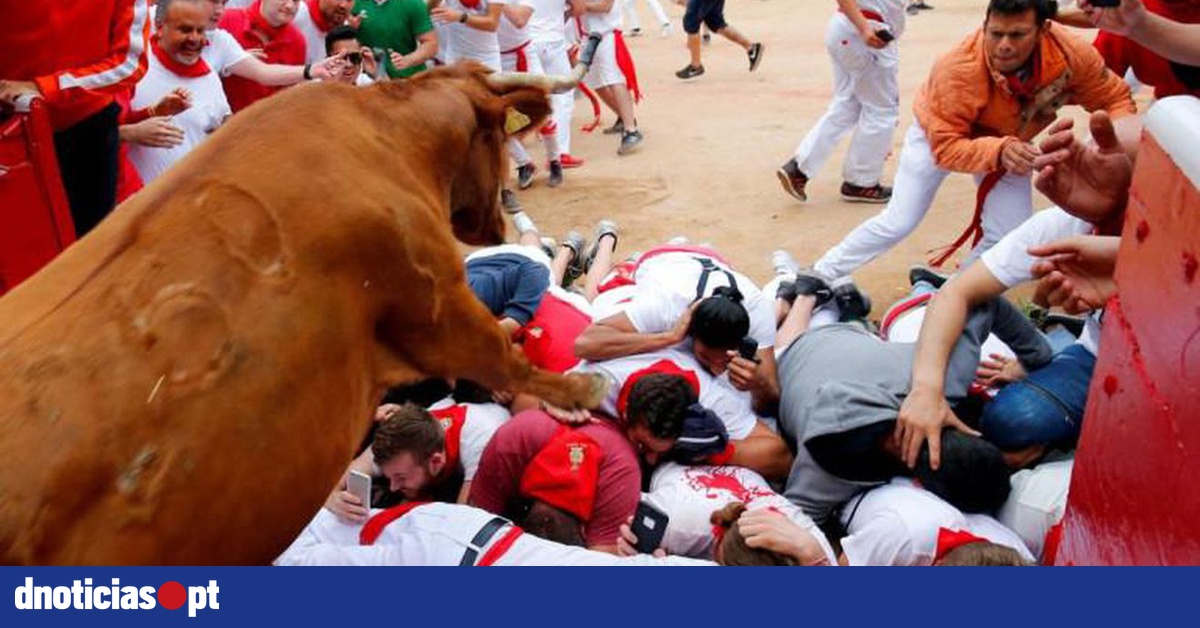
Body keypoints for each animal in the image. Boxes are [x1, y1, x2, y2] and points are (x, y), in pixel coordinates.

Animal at [0, 62, 609, 564]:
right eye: (498, 139)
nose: (498, 220)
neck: (385, 133)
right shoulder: (438, 300)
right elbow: (501, 354)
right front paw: (580, 392)